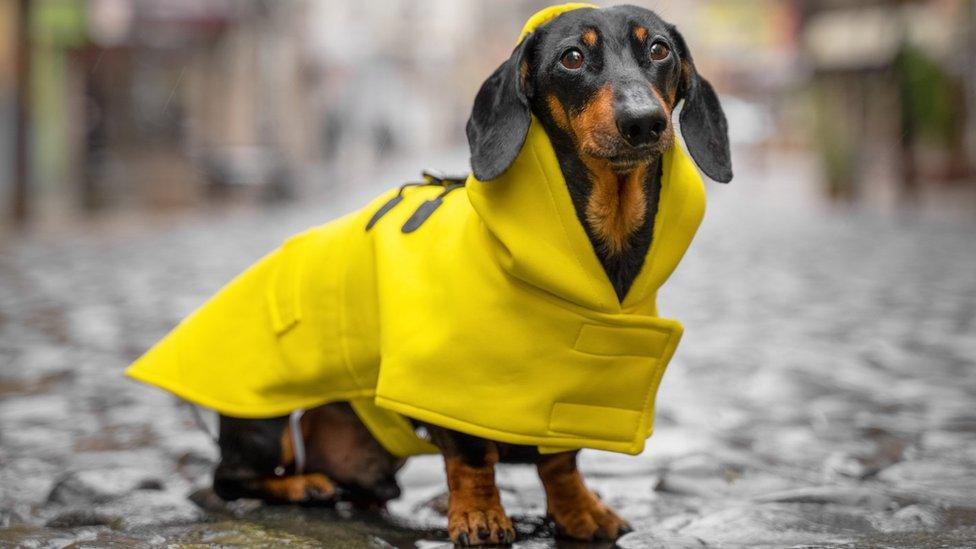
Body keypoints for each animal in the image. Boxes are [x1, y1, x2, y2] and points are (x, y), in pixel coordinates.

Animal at [127, 3, 724, 544]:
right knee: (229, 480)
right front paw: (480, 516)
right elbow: (471, 457)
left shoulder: (568, 390)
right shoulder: (450, 384)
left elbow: (560, 462)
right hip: (267, 423)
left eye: (659, 50)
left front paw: (580, 513)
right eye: (572, 57)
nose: (643, 122)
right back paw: (304, 486)